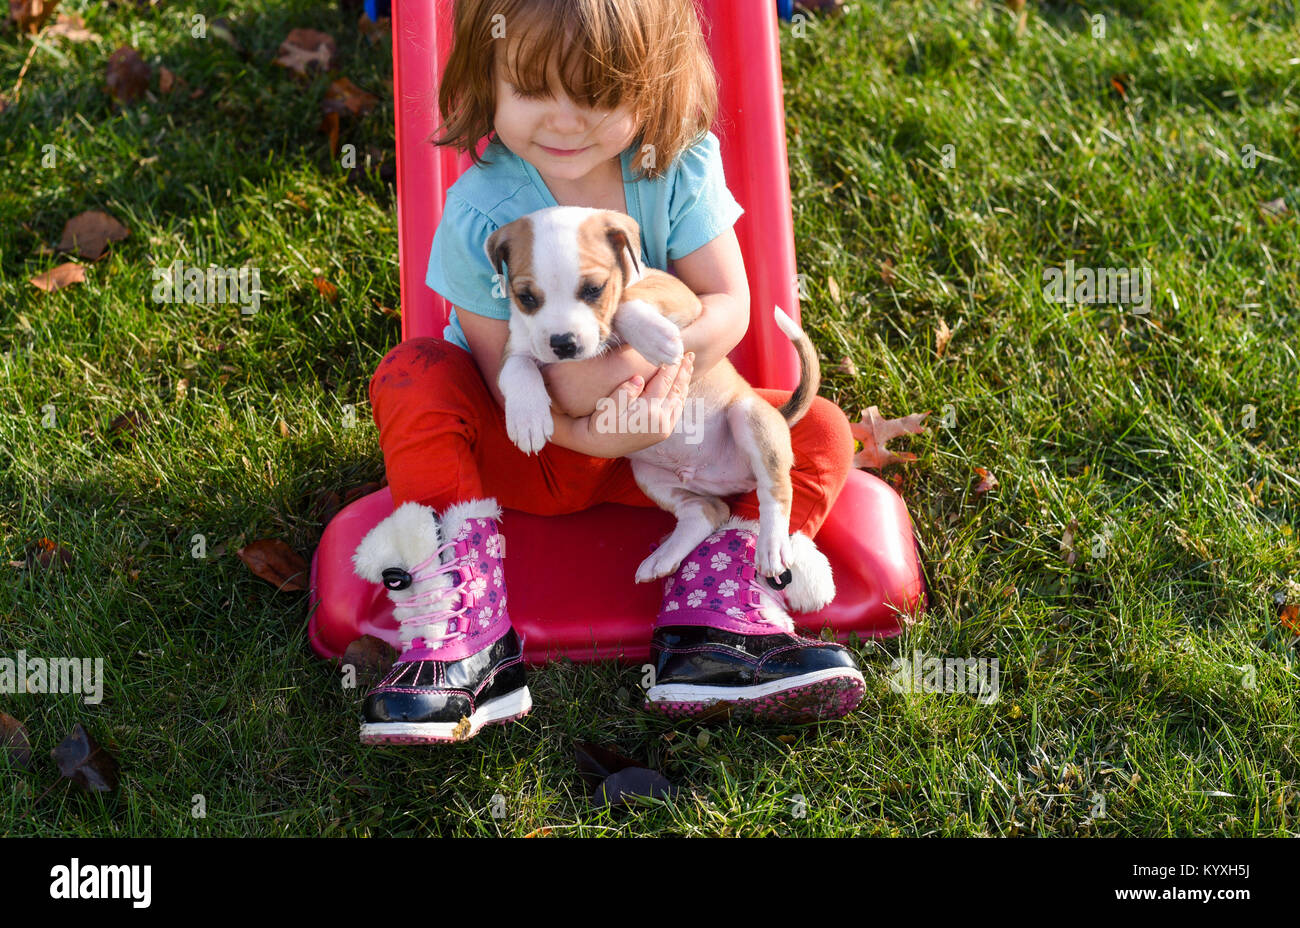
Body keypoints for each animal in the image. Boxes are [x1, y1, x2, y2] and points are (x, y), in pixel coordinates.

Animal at [486, 205, 832, 608]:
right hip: (650, 476)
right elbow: (518, 369)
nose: (563, 343)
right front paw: (527, 418)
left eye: (594, 290)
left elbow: (628, 301)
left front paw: (654, 336)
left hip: (749, 417)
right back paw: (663, 557)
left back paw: (772, 547)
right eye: (525, 297)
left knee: (775, 490)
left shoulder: (679, 294)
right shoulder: (514, 350)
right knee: (707, 511)